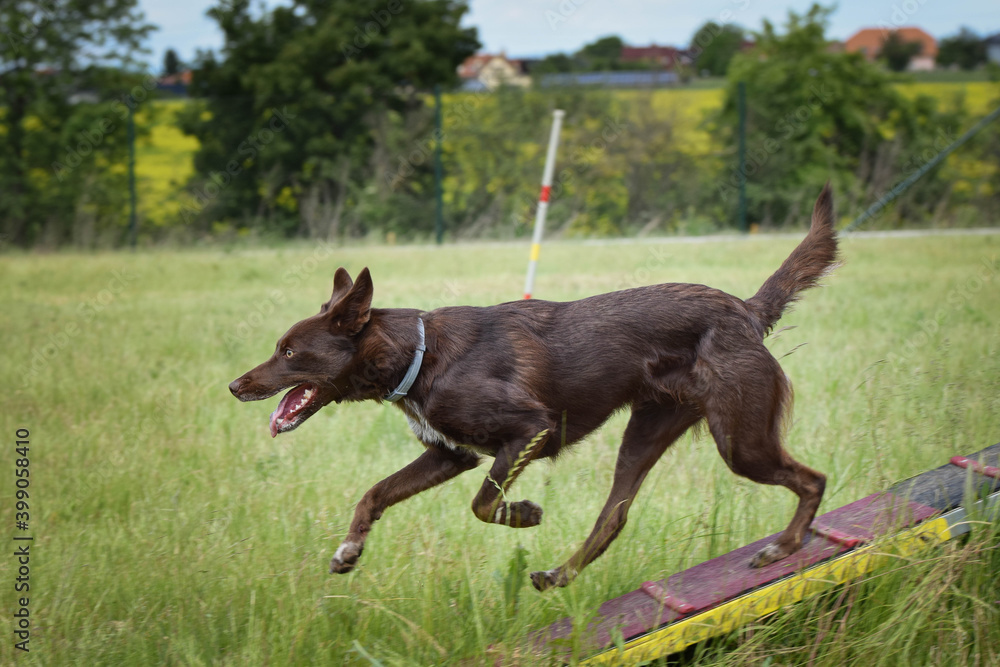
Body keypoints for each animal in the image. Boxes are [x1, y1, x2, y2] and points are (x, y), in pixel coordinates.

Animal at [230, 183, 840, 588]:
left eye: (288, 352)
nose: (235, 386)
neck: (418, 356)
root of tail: (745, 309)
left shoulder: (530, 430)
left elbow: (482, 503)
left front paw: (523, 514)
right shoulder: (451, 456)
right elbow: (375, 492)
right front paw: (349, 551)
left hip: (740, 439)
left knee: (813, 479)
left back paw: (784, 546)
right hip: (646, 432)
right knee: (613, 518)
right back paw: (559, 575)